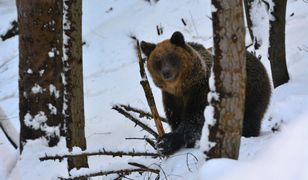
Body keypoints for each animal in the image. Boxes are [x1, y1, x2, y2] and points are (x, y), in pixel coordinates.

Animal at [141, 31, 270, 155]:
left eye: (172, 57)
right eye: (158, 61)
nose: (166, 72)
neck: (182, 87)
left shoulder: (202, 91)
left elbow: (196, 119)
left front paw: (166, 142)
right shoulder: (171, 98)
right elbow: (175, 119)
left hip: (252, 93)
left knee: (250, 118)